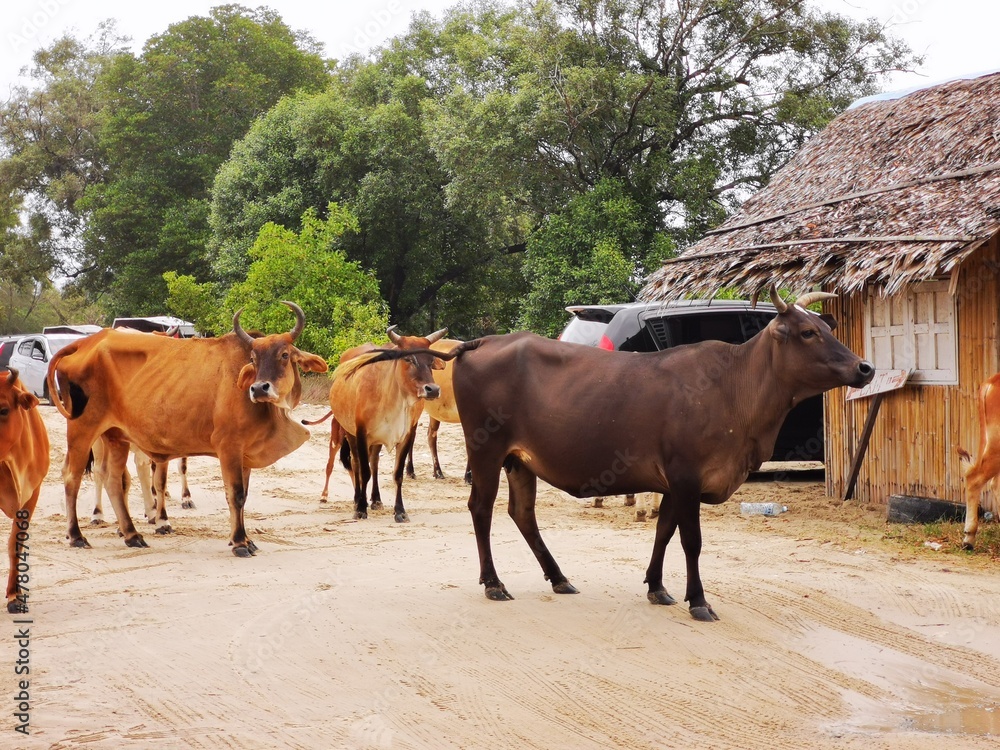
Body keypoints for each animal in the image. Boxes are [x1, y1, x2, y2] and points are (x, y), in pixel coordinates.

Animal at [46, 301, 328, 556]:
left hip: (116, 436)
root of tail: (86, 343)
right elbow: (235, 494)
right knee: (72, 476)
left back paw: (132, 535)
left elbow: (244, 495)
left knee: (114, 479)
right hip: (83, 429)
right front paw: (239, 542)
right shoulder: (229, 447)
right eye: (253, 358)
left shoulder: (245, 453)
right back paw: (76, 535)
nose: (259, 388)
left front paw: (246, 540)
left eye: (284, 355)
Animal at [327, 326, 447, 522]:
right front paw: (361, 508)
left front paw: (400, 511)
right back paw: (357, 499)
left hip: (376, 440)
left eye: (430, 361)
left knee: (374, 462)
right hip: (349, 432)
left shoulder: (407, 435)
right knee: (356, 464)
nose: (433, 390)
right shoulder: (361, 433)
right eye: (408, 358)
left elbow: (397, 474)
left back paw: (376, 500)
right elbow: (364, 471)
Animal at [447, 287, 874, 620]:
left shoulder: (672, 482)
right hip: (486, 449)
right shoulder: (686, 476)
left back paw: (559, 578)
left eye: (827, 328)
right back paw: (493, 582)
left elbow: (664, 532)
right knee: (481, 508)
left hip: (520, 460)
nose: (865, 367)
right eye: (807, 332)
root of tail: (486, 340)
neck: (734, 388)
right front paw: (699, 600)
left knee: (523, 514)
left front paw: (657, 587)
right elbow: (691, 540)